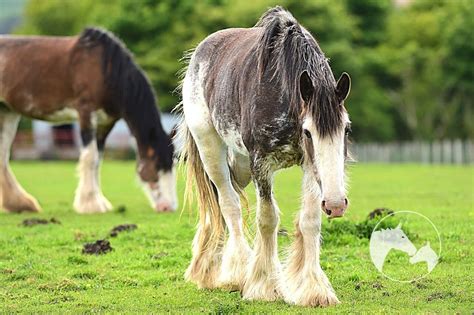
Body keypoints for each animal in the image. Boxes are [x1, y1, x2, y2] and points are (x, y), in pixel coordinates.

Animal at [0, 27, 178, 215]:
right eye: (157, 165)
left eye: (172, 164)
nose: (168, 207)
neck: (106, 70)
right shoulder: (86, 113)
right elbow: (90, 157)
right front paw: (91, 204)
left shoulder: (105, 124)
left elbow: (98, 160)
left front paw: (99, 202)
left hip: (8, 113)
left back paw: (19, 204)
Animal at [178, 6, 352, 308]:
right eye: (307, 132)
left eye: (346, 129)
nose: (336, 204)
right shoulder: (261, 163)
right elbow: (268, 218)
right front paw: (264, 286)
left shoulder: (309, 166)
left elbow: (310, 220)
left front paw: (314, 289)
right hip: (211, 149)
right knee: (229, 205)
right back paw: (235, 273)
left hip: (240, 164)